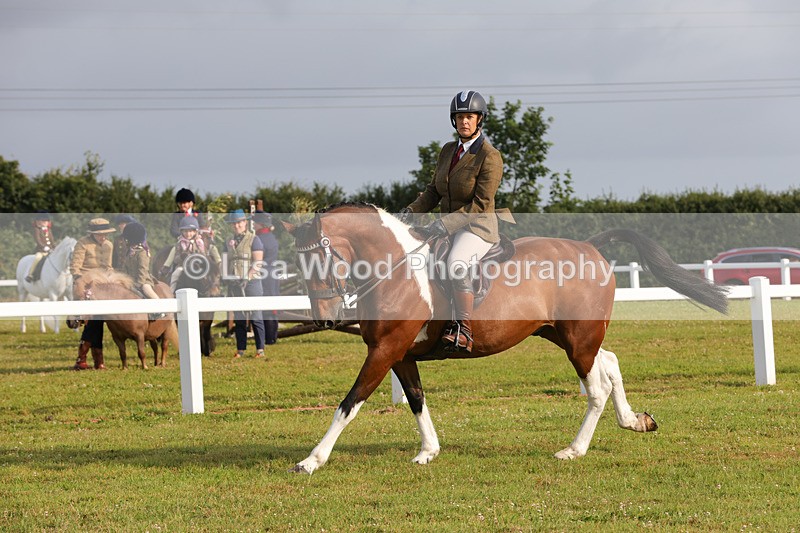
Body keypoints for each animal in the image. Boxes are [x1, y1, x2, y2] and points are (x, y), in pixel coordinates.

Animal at [281, 202, 728, 474]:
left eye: (321, 259)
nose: (325, 320)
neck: (395, 269)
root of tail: (589, 246)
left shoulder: (384, 350)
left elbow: (349, 403)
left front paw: (311, 460)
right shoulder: (400, 354)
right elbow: (417, 400)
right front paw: (428, 451)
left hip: (577, 341)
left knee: (596, 388)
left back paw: (574, 449)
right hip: (565, 335)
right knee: (612, 362)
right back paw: (635, 421)